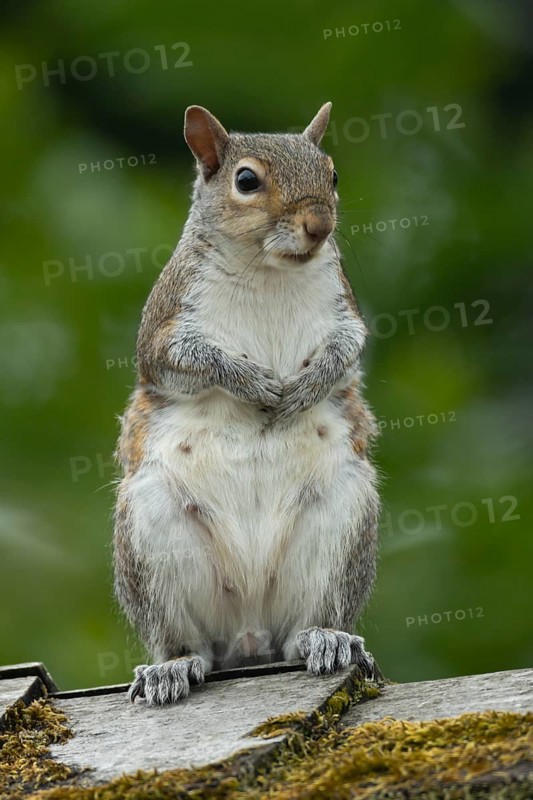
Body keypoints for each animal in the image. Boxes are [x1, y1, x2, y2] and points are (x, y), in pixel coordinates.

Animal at [113, 102, 381, 706]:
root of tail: (250, 634)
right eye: (246, 182)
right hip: (152, 537)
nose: (319, 225)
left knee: (307, 626)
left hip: (343, 522)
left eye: (332, 175)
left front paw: (304, 387)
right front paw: (253, 383)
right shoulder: (166, 326)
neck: (269, 268)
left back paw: (326, 639)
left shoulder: (345, 312)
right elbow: (189, 360)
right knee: (185, 642)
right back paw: (171, 668)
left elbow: (345, 353)